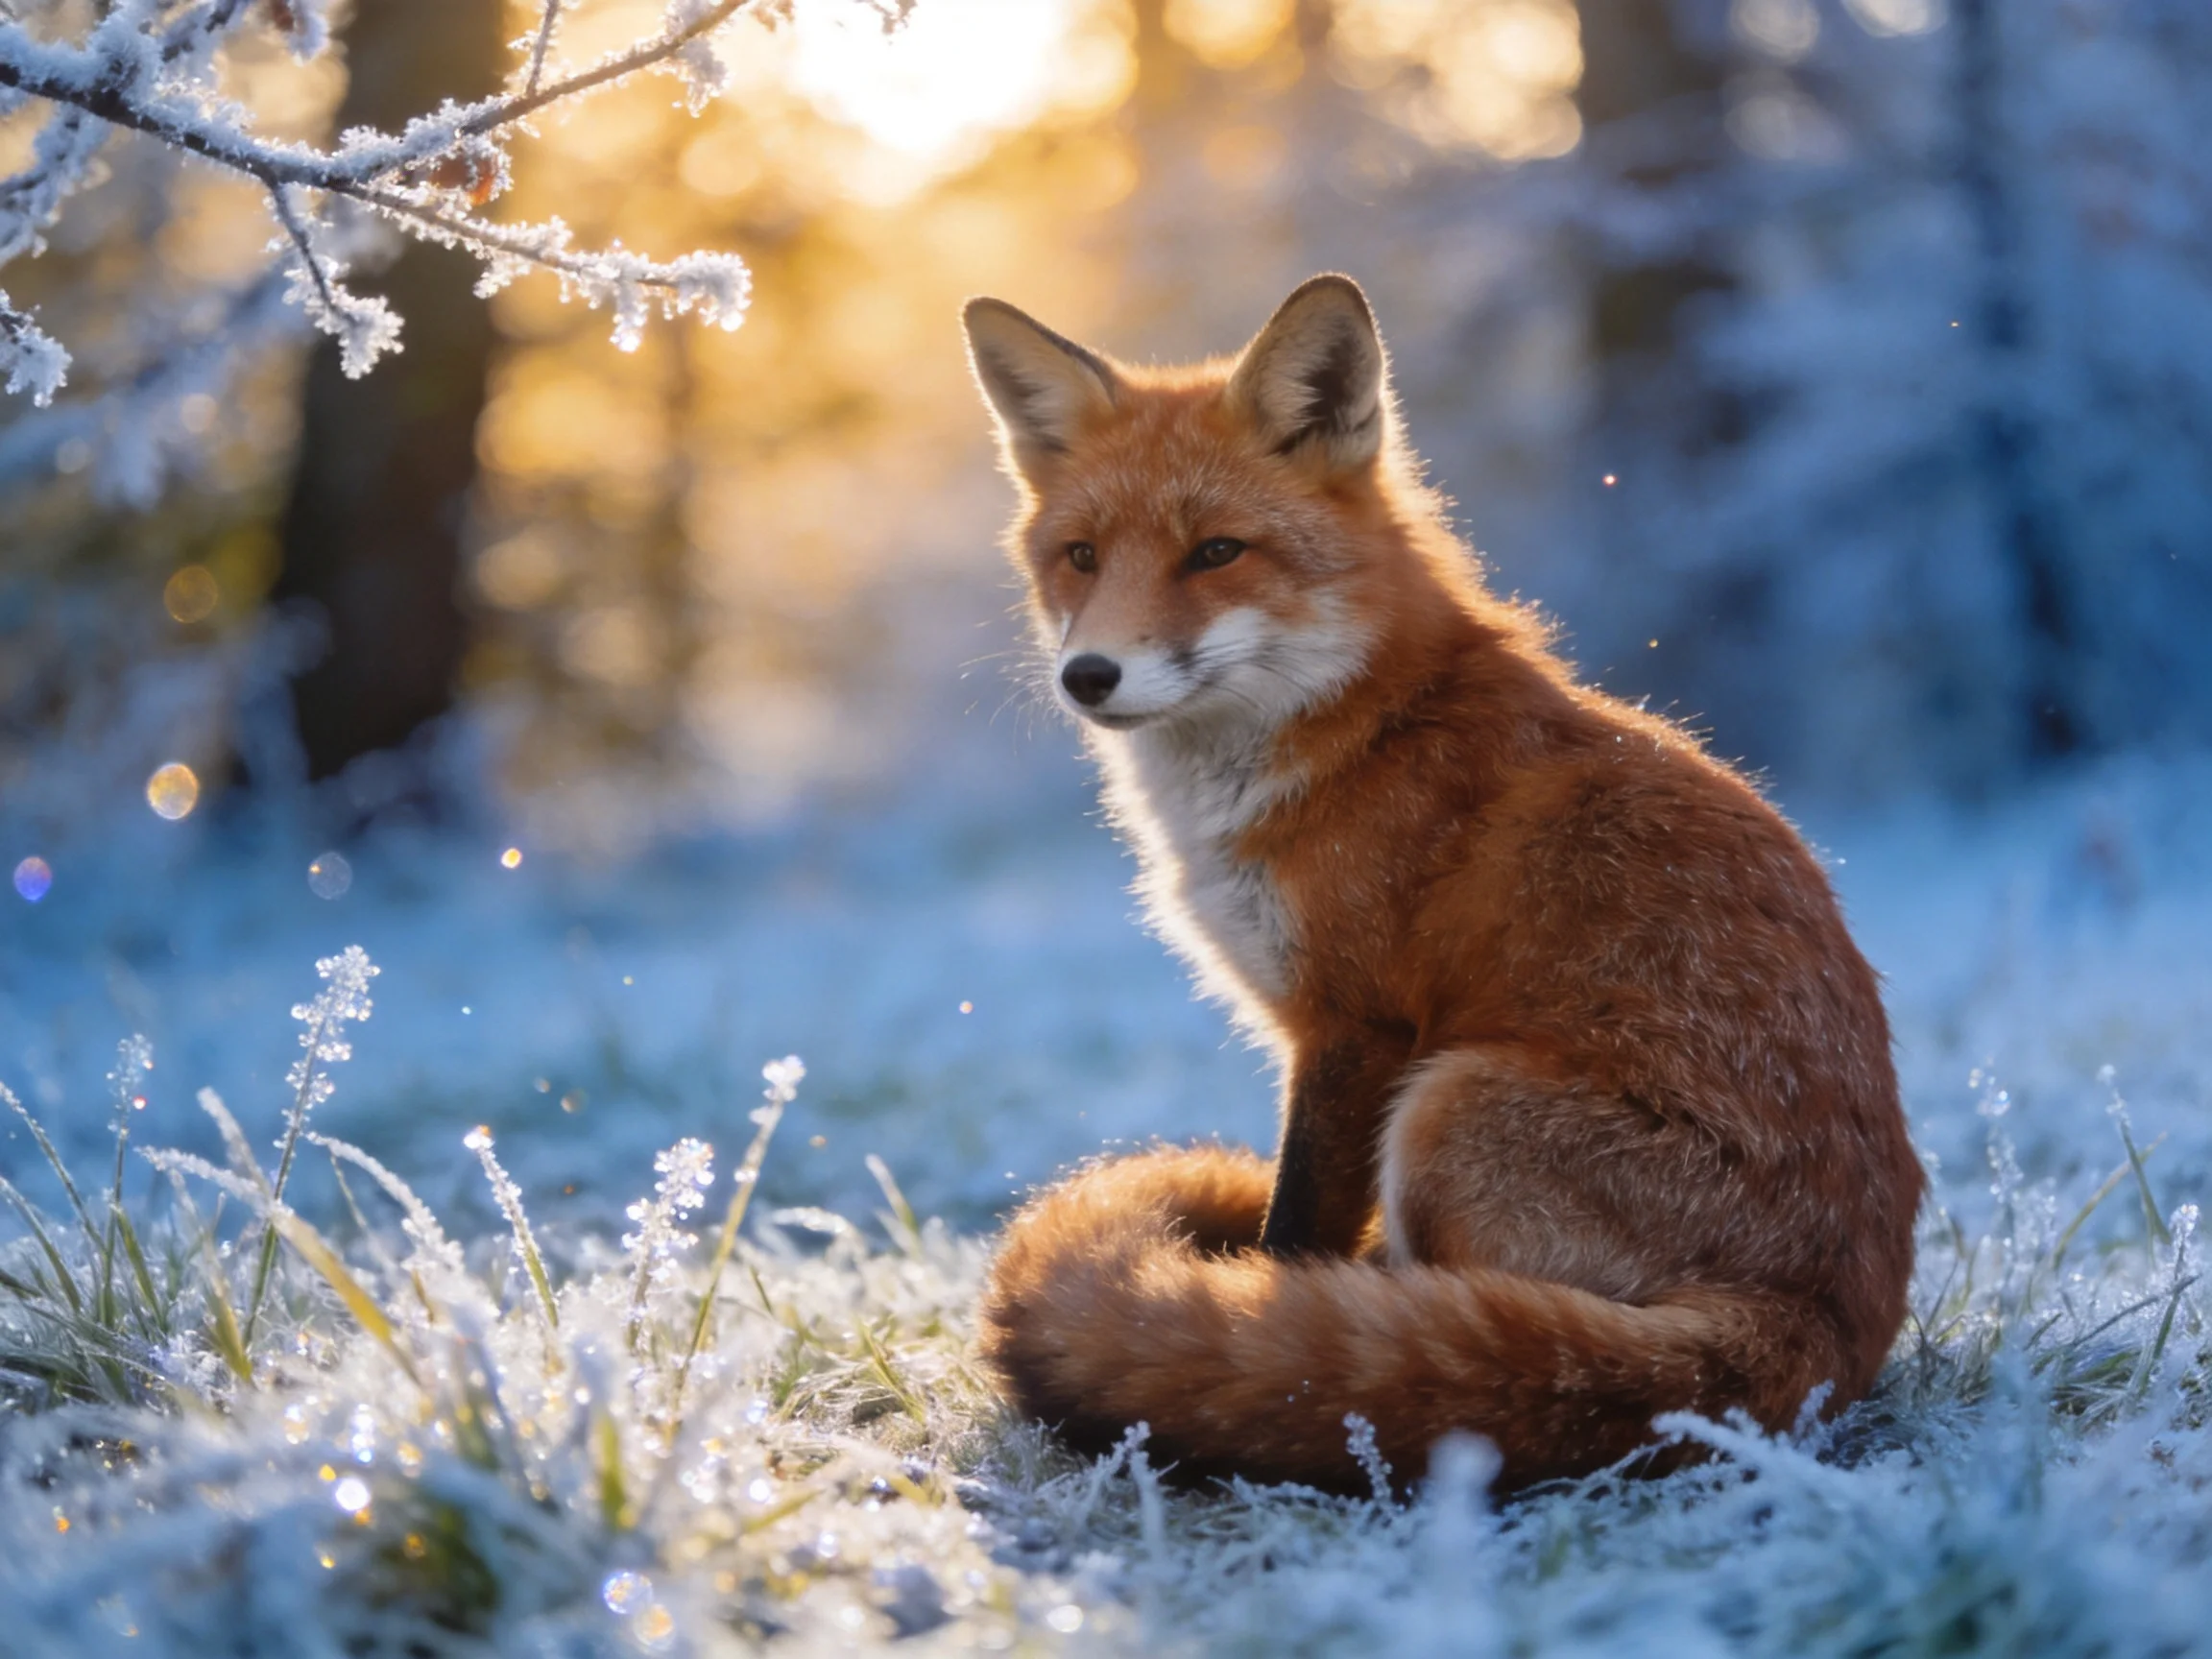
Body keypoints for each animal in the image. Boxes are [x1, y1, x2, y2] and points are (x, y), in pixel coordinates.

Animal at [961, 274, 1922, 1494]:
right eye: (1081, 556)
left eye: (1217, 552)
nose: (1089, 676)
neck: (1356, 731)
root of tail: (1826, 1330)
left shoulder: (1356, 1027)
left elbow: (1294, 1235)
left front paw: (1249, 1318)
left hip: (1449, 1106)